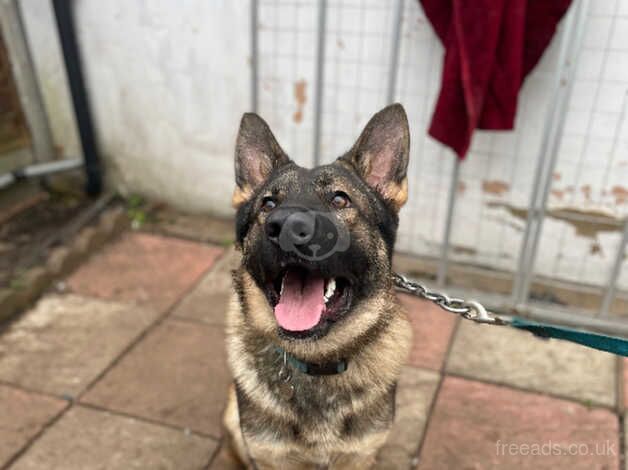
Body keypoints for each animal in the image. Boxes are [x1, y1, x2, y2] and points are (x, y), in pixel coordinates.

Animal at [224, 103, 412, 470]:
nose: (284, 226)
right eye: (268, 204)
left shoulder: (359, 456)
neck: (317, 362)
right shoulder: (270, 459)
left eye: (340, 200)